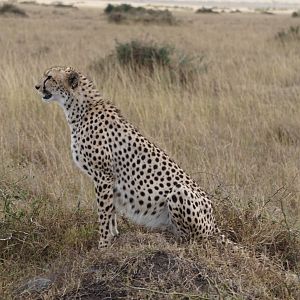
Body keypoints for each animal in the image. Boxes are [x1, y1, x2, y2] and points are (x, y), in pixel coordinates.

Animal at [35, 67, 220, 247]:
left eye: (49, 77)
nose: (36, 87)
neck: (80, 108)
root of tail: (215, 223)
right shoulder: (109, 180)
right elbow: (111, 211)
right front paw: (113, 236)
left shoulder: (103, 175)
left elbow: (103, 213)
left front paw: (103, 245)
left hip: (180, 192)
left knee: (195, 238)